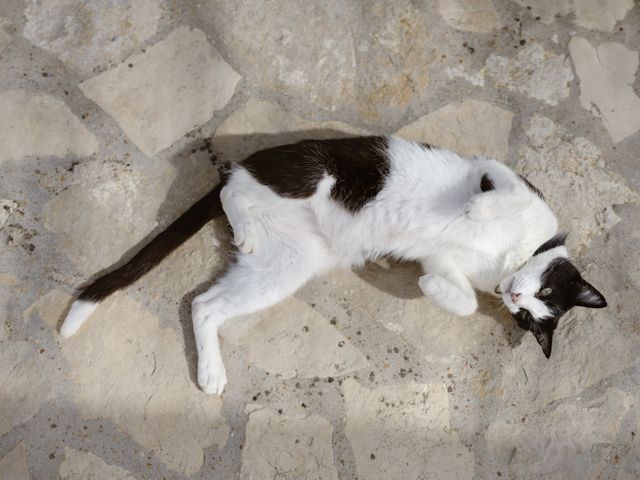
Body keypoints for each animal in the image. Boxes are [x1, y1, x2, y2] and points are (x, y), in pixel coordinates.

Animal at [58, 135, 604, 394]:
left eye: (531, 316)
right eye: (545, 294)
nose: (515, 294)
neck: (513, 255)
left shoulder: (446, 259)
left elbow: (462, 298)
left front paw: (430, 286)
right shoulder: (503, 176)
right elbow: (498, 191)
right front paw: (475, 211)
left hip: (286, 267)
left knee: (205, 304)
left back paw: (211, 371)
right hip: (318, 170)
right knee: (232, 187)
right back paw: (241, 215)